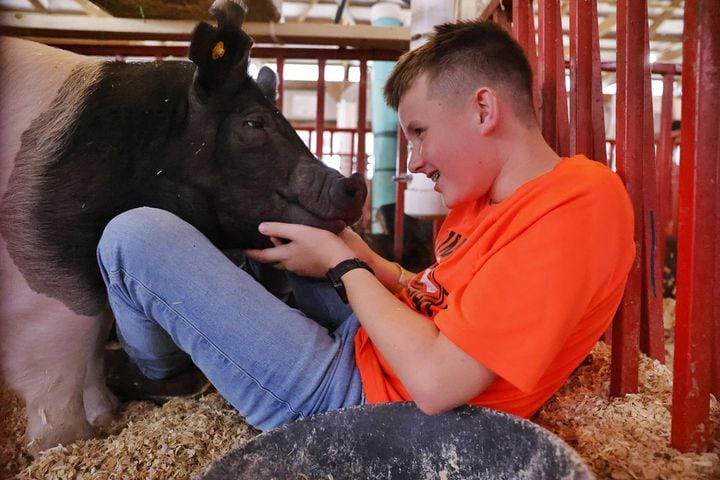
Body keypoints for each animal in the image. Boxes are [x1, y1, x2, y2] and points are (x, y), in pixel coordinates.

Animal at [0, 0, 368, 456]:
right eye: (254, 124)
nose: (354, 184)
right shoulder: (45, 281)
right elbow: (63, 365)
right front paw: (66, 444)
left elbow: (91, 353)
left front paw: (105, 420)